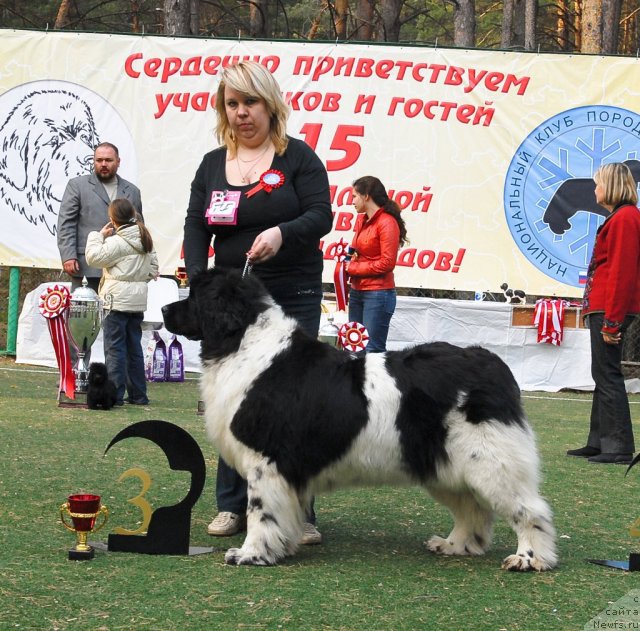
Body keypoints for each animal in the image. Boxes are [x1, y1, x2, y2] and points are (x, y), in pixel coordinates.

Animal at [162, 268, 556, 572]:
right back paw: (454, 544)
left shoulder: (266, 462)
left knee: (528, 509)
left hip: (490, 460)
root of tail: (490, 361)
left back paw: (529, 559)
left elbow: (261, 512)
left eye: (195, 296)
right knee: (471, 509)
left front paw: (251, 554)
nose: (164, 307)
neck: (243, 343)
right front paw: (281, 548)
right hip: (444, 464)